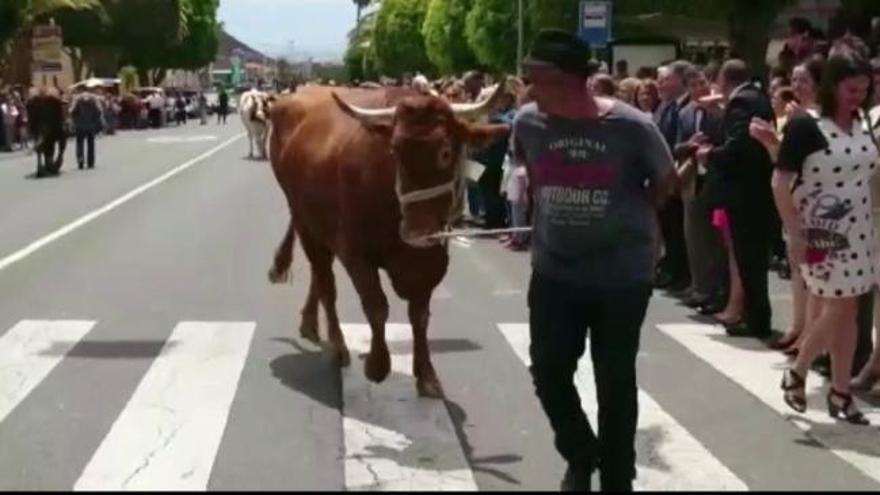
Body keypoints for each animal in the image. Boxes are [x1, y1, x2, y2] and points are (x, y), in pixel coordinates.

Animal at [264, 81, 512, 400]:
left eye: (446, 152)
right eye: (394, 150)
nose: (417, 229)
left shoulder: (431, 260)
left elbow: (419, 316)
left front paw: (427, 376)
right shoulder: (355, 252)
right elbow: (377, 306)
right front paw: (377, 366)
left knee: (319, 277)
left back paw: (309, 324)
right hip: (304, 220)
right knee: (326, 284)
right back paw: (337, 346)